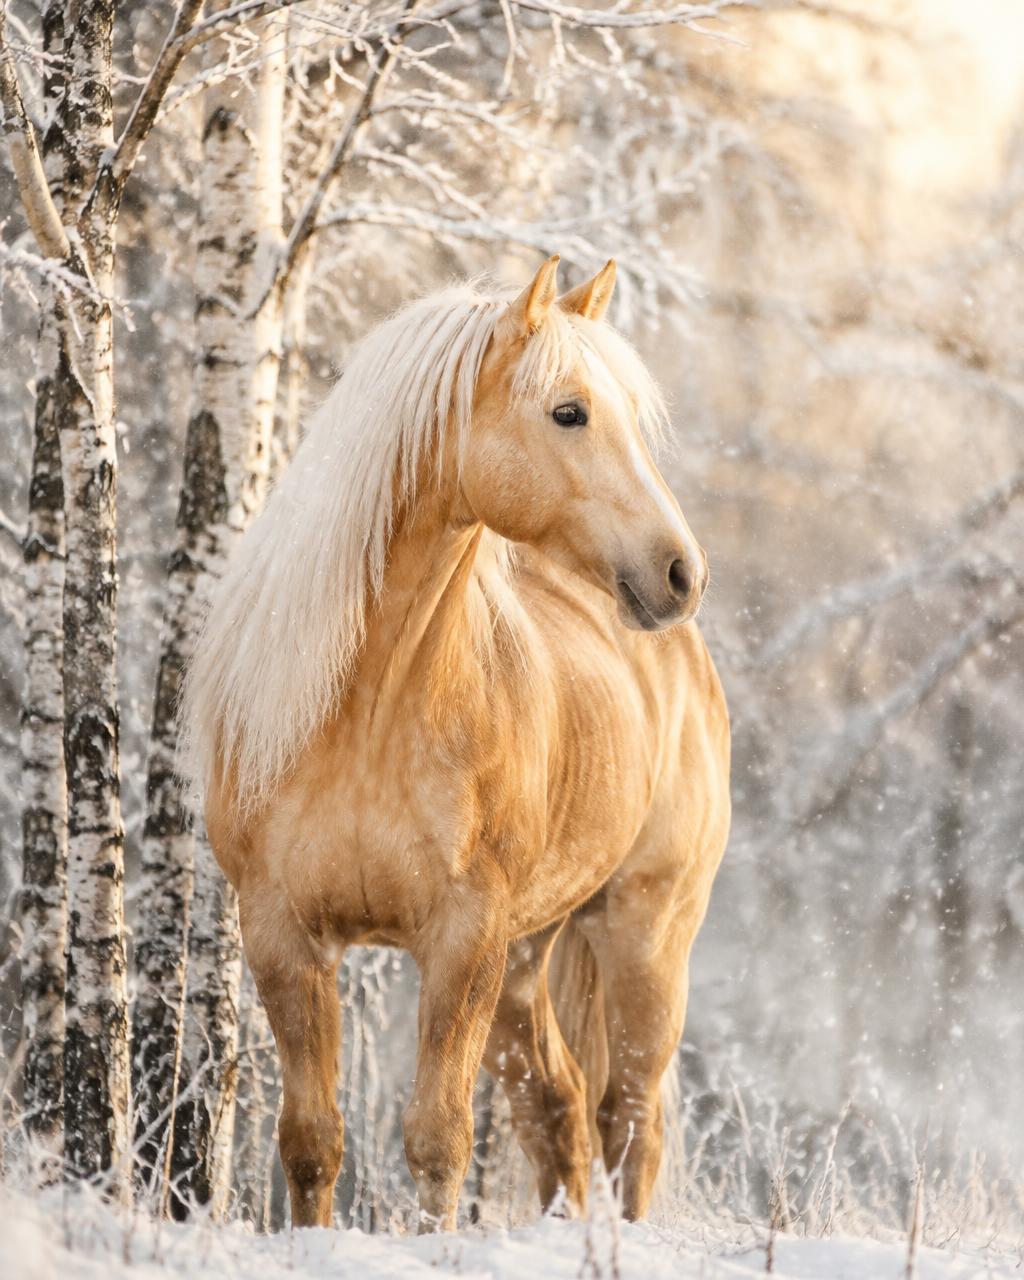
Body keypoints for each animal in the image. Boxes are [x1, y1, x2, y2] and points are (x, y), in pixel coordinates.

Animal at [183, 255, 731, 1232]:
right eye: (568, 411)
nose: (680, 573)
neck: (366, 714)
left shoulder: (462, 940)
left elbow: (438, 1140)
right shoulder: (283, 935)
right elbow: (311, 1142)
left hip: (644, 934)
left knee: (630, 1120)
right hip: (527, 961)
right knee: (562, 1112)